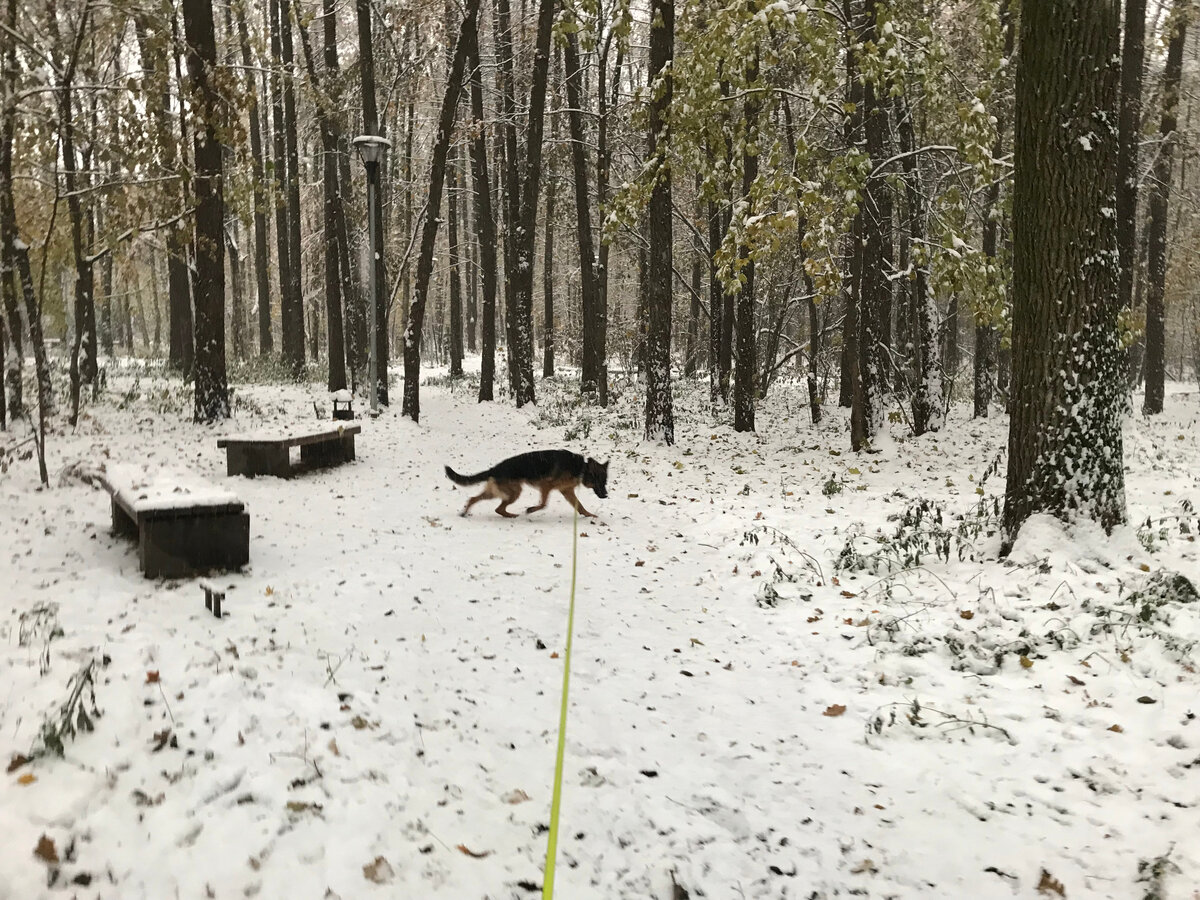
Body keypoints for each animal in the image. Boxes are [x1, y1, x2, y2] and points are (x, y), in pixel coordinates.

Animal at [446, 453, 609, 518]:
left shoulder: (567, 492)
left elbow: (580, 506)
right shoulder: (546, 486)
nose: (606, 496)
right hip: (515, 492)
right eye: (601, 482)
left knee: (476, 500)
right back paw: (512, 515)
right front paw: (530, 509)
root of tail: (494, 469)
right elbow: (543, 504)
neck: (582, 468)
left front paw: (589, 515)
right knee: (498, 508)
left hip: (497, 493)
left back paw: (465, 513)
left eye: (605, 482)